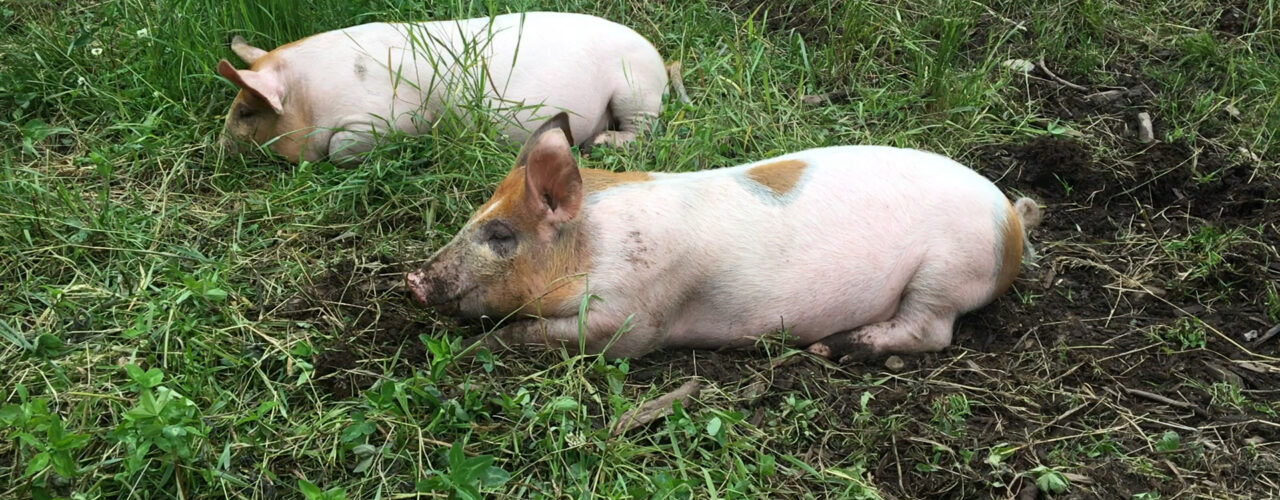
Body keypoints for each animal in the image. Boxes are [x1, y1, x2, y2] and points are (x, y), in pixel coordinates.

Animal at [217, 11, 691, 164]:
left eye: (246, 112)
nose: (219, 148)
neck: (313, 98)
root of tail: (658, 58)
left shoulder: (390, 119)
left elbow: (338, 149)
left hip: (635, 90)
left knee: (645, 131)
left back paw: (598, 145)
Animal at [404, 112, 1044, 363]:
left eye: (500, 234)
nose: (413, 278)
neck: (594, 246)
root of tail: (1012, 220)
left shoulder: (636, 313)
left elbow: (572, 336)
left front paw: (479, 347)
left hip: (947, 270)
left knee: (932, 331)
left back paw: (831, 348)